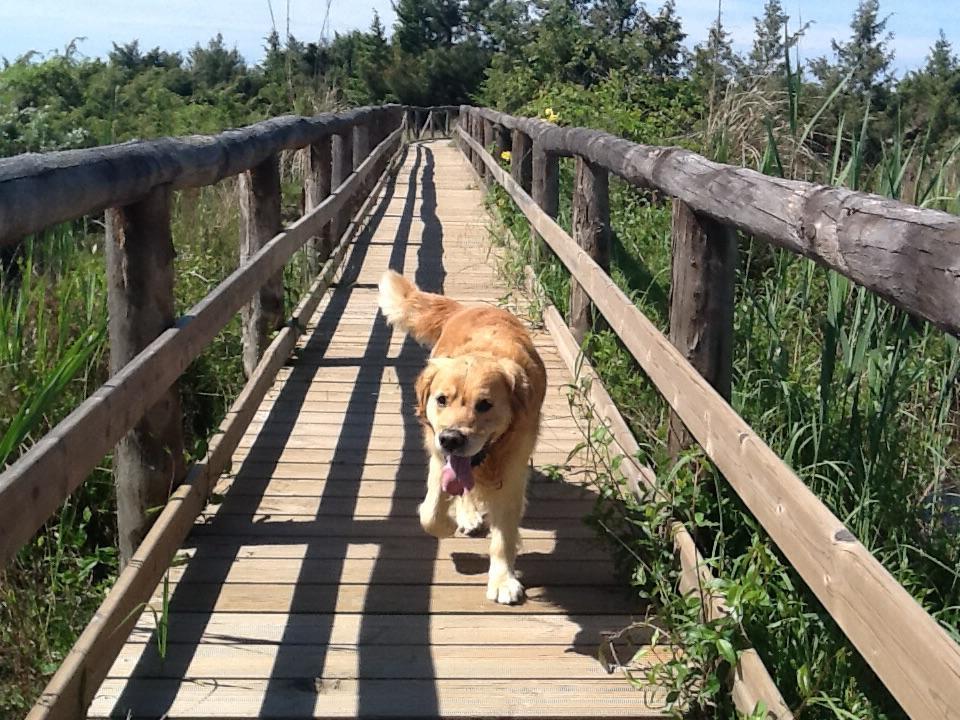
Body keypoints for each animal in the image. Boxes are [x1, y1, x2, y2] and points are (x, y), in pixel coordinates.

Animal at [380, 270, 548, 600]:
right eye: (442, 400)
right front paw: (446, 523)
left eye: (485, 405)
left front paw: (502, 580)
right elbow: (431, 512)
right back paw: (466, 515)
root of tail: (466, 307)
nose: (451, 439)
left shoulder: (512, 472)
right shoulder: (438, 455)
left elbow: (504, 536)